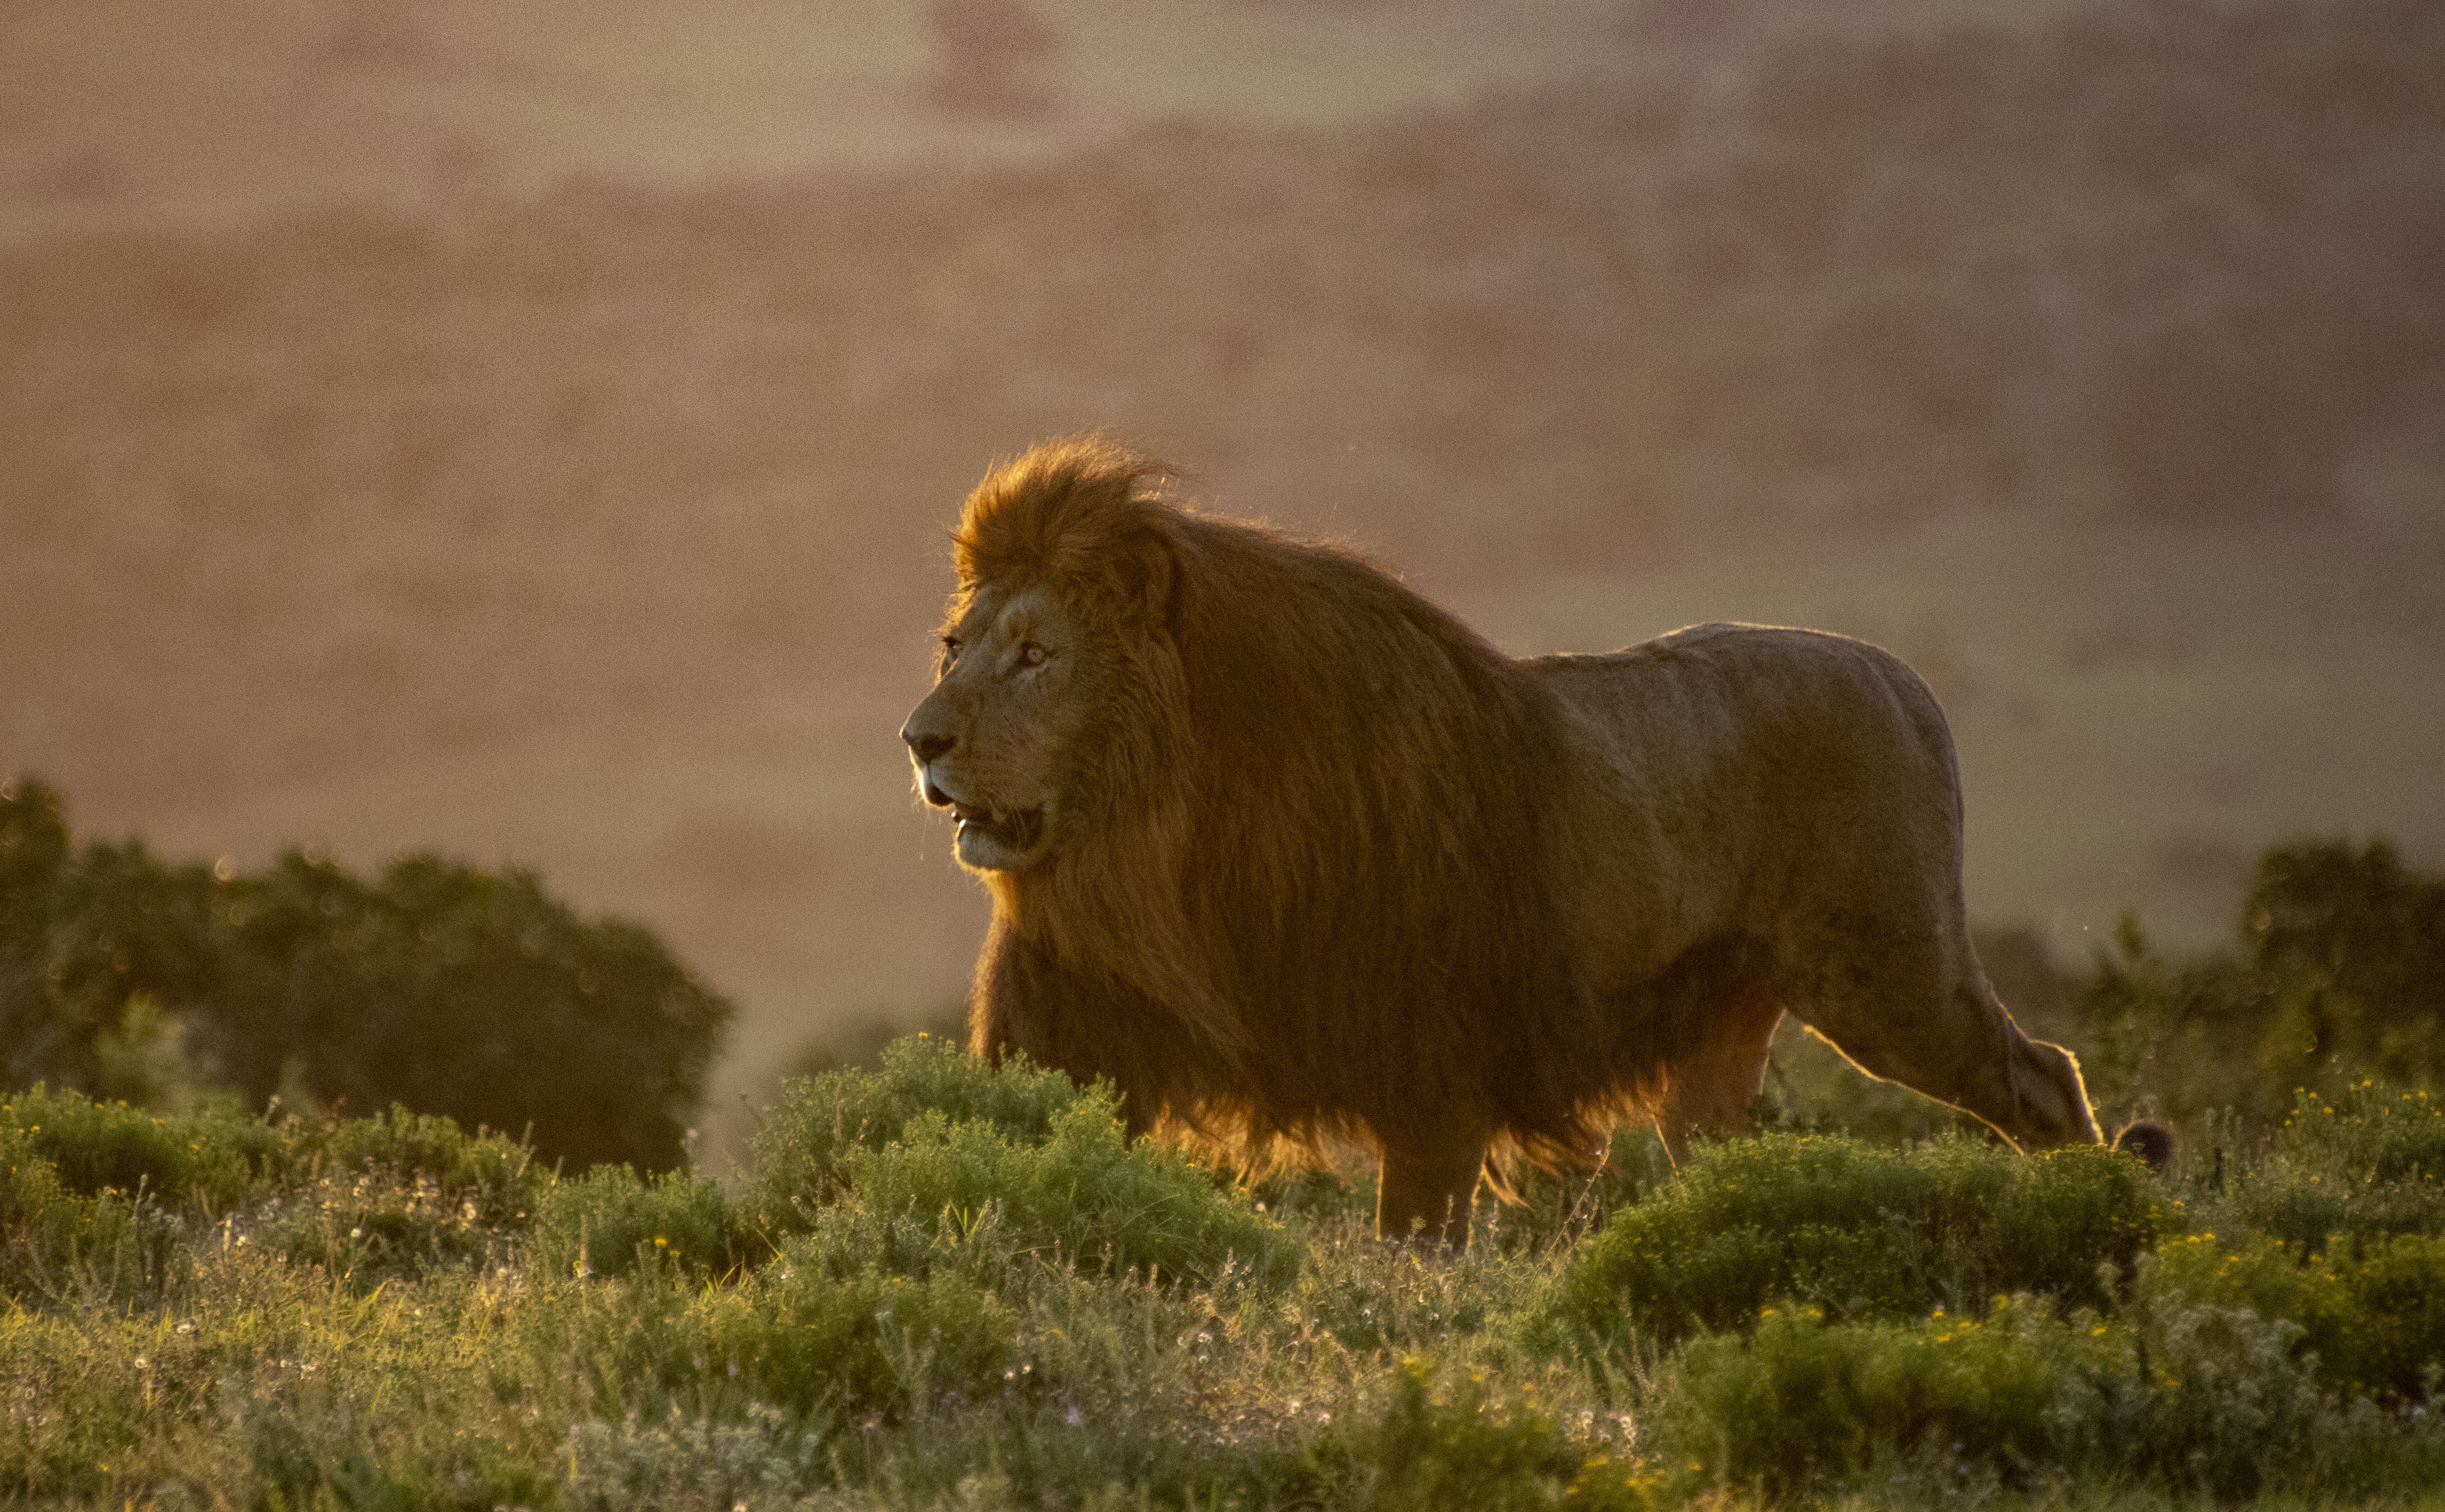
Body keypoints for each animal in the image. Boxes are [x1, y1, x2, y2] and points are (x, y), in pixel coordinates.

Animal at [900, 435, 2105, 1244]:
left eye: (1034, 656)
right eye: (956, 645)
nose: (920, 739)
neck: (1148, 848)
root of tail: (1899, 675)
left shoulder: (1437, 1076)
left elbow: (1413, 1248)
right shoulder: (1076, 1042)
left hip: (1889, 974)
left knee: (2042, 1075)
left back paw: (2099, 1216)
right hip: (1723, 1033)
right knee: (1724, 1153)